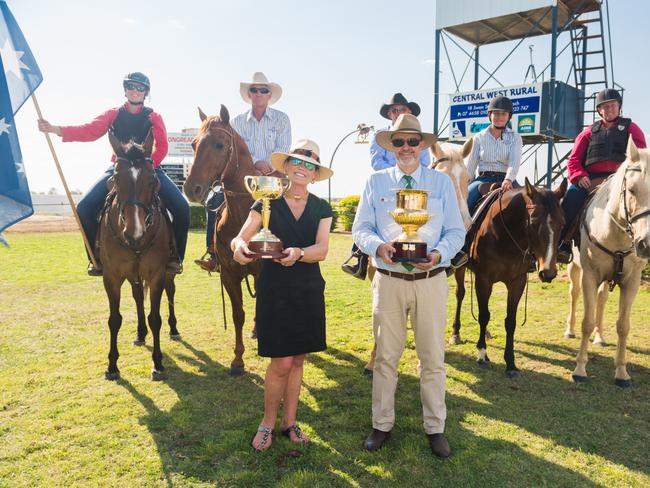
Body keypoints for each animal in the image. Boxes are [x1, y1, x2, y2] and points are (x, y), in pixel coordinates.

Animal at [98, 131, 177, 382]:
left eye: (152, 178)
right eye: (116, 177)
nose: (135, 231)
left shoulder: (157, 274)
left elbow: (155, 318)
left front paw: (158, 364)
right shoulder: (111, 277)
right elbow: (114, 319)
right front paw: (112, 365)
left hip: (168, 275)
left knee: (170, 295)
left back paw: (174, 329)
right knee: (137, 298)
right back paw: (141, 334)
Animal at [182, 105, 258, 376]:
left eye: (219, 144)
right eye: (193, 144)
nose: (191, 189)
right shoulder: (229, 274)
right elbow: (237, 314)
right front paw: (237, 361)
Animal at [448, 179, 564, 378]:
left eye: (562, 223)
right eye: (533, 222)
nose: (548, 273)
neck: (504, 235)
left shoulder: (517, 281)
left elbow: (510, 321)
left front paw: (510, 363)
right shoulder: (483, 279)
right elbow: (484, 315)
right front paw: (482, 354)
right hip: (461, 269)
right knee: (460, 294)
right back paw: (456, 333)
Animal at [568, 138, 644, 388]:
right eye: (632, 190)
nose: (646, 243)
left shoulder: (632, 281)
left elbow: (623, 325)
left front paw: (621, 372)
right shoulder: (590, 275)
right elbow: (586, 321)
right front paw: (580, 369)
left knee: (602, 300)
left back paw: (599, 337)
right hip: (575, 268)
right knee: (574, 294)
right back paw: (569, 330)